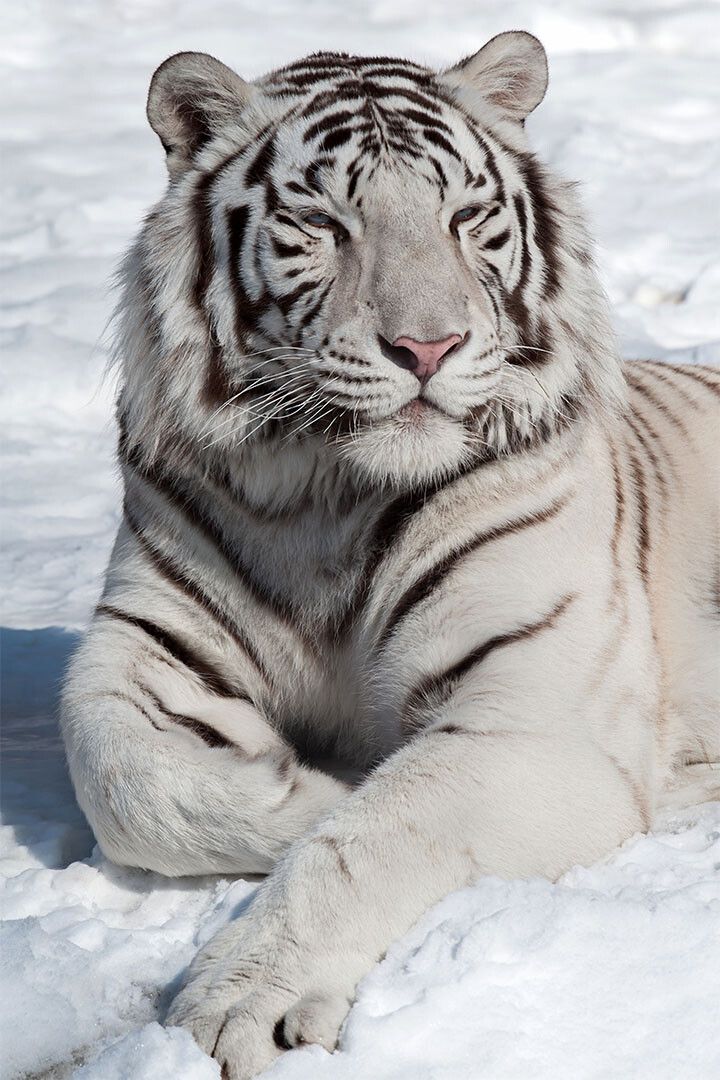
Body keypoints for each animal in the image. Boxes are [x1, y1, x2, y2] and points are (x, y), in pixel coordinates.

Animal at [60, 30, 719, 1078]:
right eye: (323, 224)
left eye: (466, 216)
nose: (428, 347)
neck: (327, 494)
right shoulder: (140, 650)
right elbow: (123, 779)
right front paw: (312, 785)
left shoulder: (536, 716)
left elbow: (374, 838)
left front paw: (237, 1006)